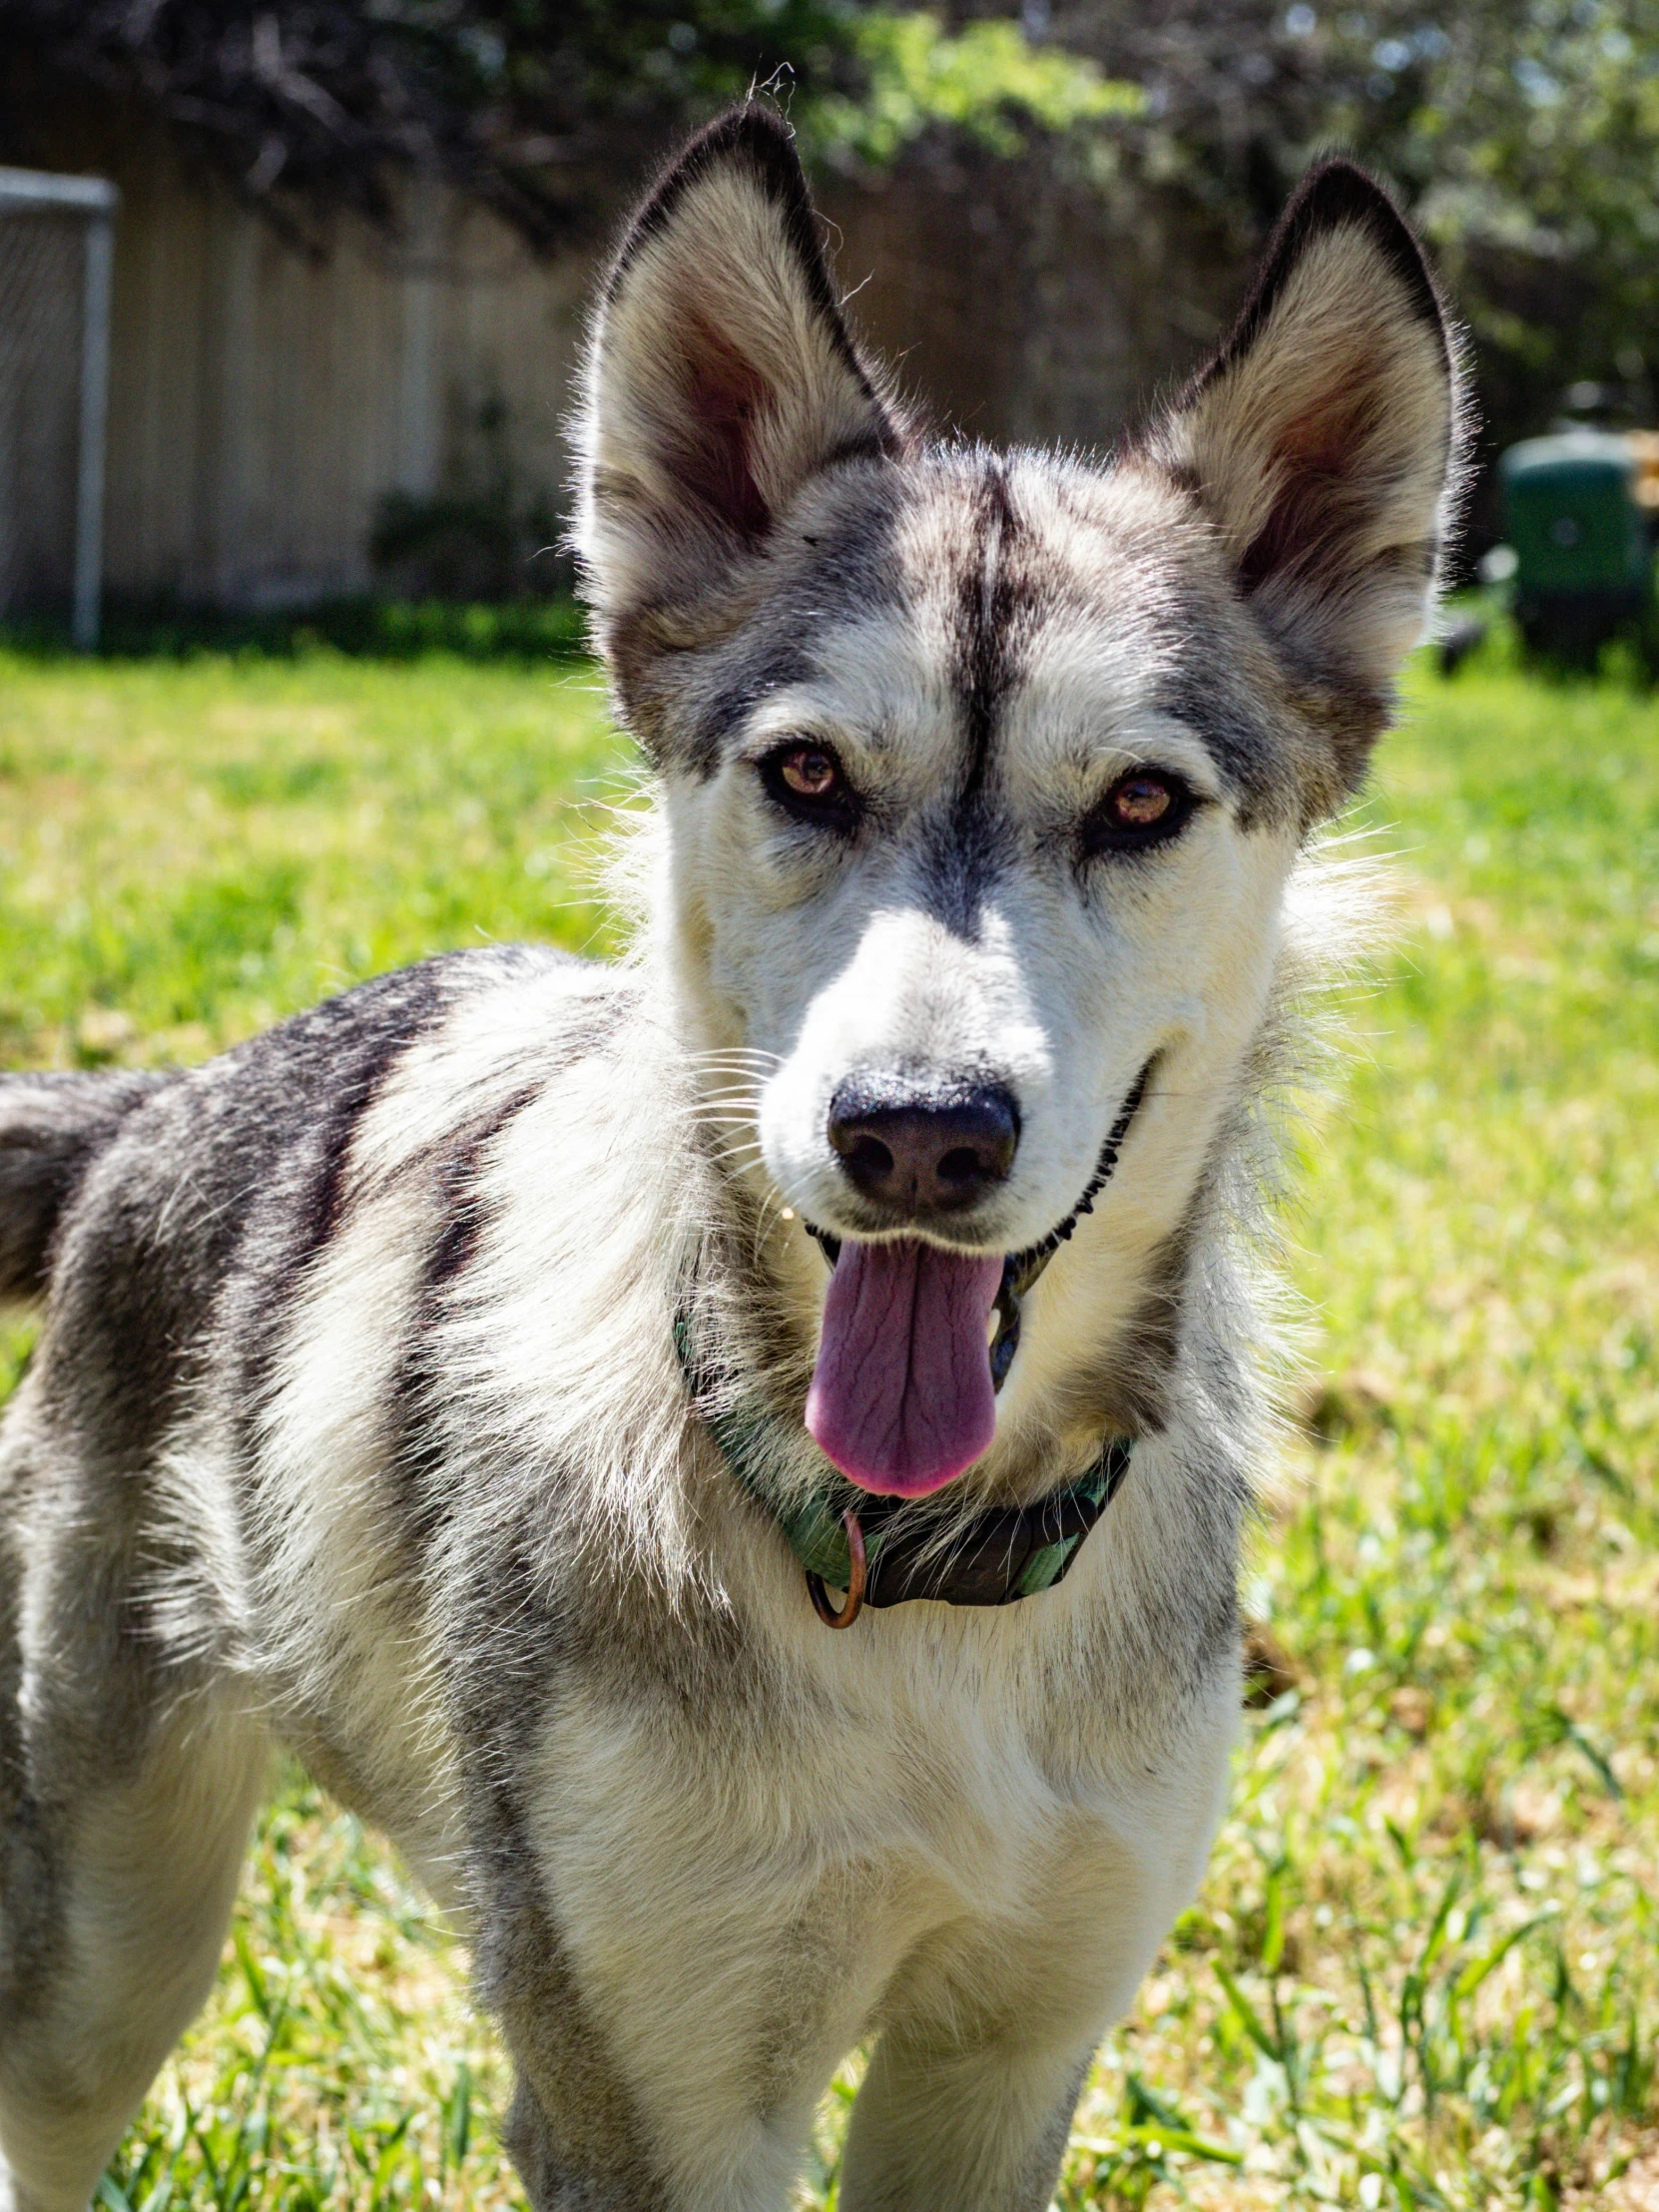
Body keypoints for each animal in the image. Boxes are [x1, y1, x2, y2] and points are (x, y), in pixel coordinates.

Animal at [0, 104, 1459, 2212]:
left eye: (1135, 804)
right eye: (807, 774)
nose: (915, 1134)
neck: (906, 1586)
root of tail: (172, 1101)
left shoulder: (1004, 2062)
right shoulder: (654, 2098)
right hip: (109, 1943)